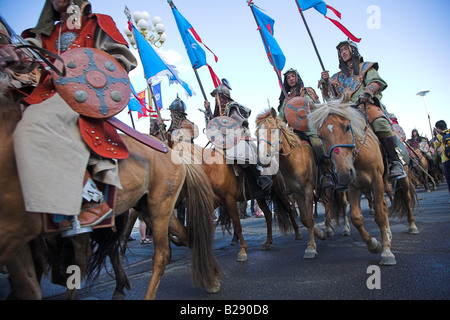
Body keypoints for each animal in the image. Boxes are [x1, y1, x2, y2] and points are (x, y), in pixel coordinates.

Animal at [0, 95, 221, 300]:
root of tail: (174, 155)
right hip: (149, 207)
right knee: (185, 235)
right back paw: (212, 275)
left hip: (160, 206)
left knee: (162, 254)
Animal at [255, 109, 326, 258]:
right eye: (257, 134)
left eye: (273, 130)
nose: (262, 159)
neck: (295, 160)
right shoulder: (296, 192)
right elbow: (305, 218)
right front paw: (318, 234)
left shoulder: (308, 189)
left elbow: (309, 217)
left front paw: (311, 247)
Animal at [308, 100, 416, 264]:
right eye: (320, 136)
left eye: (347, 127)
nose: (343, 173)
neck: (359, 157)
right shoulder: (354, 186)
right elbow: (356, 218)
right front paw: (373, 244)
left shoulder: (376, 181)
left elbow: (379, 215)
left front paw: (386, 252)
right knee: (384, 205)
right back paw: (388, 234)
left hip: (401, 177)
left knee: (406, 198)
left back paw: (412, 226)